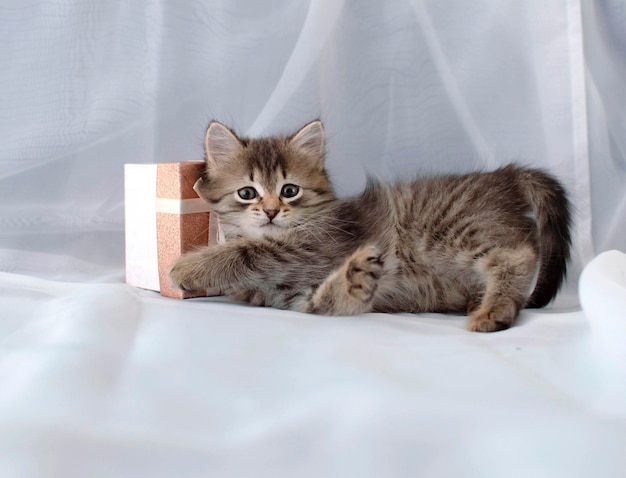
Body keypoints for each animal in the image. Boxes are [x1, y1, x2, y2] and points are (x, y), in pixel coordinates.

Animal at [171, 119, 572, 330]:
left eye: (289, 190)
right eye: (247, 193)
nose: (271, 211)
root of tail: (502, 176)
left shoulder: (312, 248)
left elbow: (250, 250)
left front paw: (188, 267)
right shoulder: (297, 299)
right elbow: (329, 302)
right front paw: (356, 280)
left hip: (451, 229)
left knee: (517, 255)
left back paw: (493, 311)